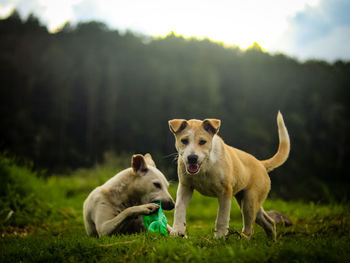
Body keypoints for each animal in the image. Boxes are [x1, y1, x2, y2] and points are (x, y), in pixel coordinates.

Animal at [169, 112, 290, 240]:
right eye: (184, 141)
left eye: (202, 142)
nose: (192, 158)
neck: (205, 165)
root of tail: (261, 164)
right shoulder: (185, 187)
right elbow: (179, 209)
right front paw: (177, 232)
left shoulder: (225, 192)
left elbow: (222, 217)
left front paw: (219, 237)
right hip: (249, 200)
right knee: (269, 222)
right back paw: (271, 241)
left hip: (249, 202)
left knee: (249, 228)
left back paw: (242, 239)